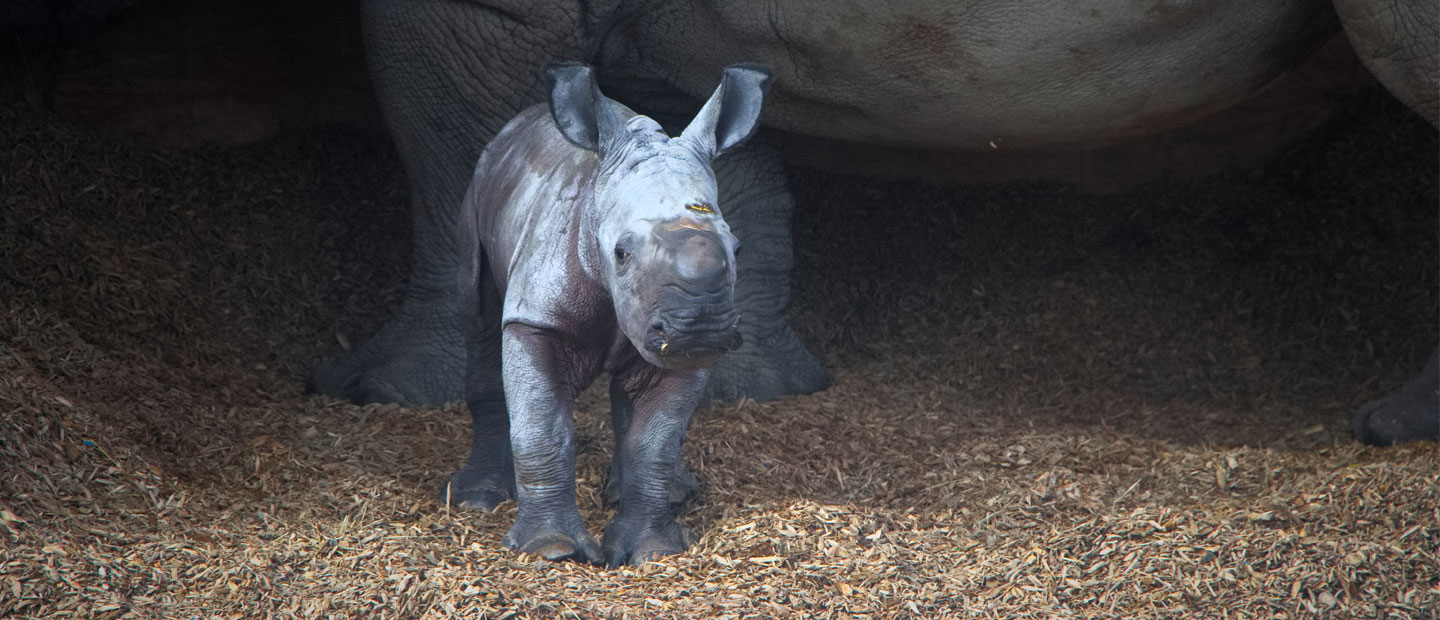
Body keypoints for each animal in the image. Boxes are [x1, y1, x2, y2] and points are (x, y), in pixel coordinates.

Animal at [450, 61, 768, 565]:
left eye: (736, 248)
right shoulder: (534, 318)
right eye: (621, 253)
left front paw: (653, 551)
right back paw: (478, 499)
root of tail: (516, 125)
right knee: (478, 326)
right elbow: (541, 429)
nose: (699, 327)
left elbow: (654, 443)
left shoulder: (676, 348)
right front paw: (553, 550)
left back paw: (673, 495)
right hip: (481, 188)